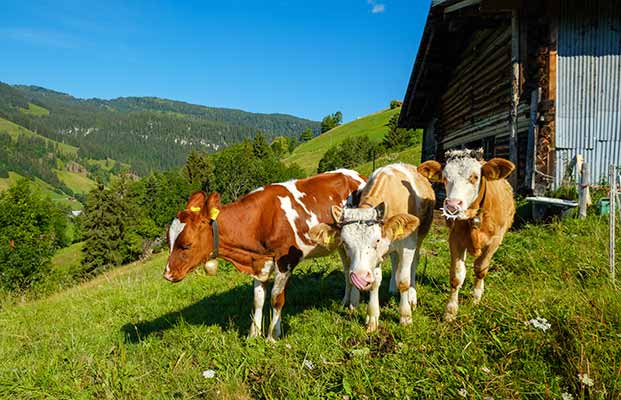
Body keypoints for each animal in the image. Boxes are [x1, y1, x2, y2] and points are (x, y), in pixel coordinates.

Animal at [163, 169, 364, 340]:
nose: (167, 274)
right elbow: (258, 299)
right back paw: (346, 302)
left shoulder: (285, 260)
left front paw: (272, 336)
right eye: (169, 241)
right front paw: (253, 335)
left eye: (186, 245)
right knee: (347, 268)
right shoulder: (259, 262)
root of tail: (355, 174)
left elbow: (276, 298)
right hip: (340, 243)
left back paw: (353, 305)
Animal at [308, 162, 434, 332]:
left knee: (414, 263)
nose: (359, 278)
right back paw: (392, 287)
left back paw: (412, 297)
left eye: (377, 240)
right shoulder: (376, 258)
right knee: (394, 260)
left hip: (419, 237)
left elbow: (404, 280)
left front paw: (405, 316)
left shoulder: (407, 244)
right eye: (345, 242)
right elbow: (375, 282)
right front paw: (372, 317)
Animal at [418, 148, 516, 320]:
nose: (452, 205)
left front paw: (476, 298)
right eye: (445, 177)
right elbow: (457, 276)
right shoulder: (455, 239)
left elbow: (481, 269)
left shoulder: (494, 241)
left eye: (475, 177)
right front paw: (450, 311)